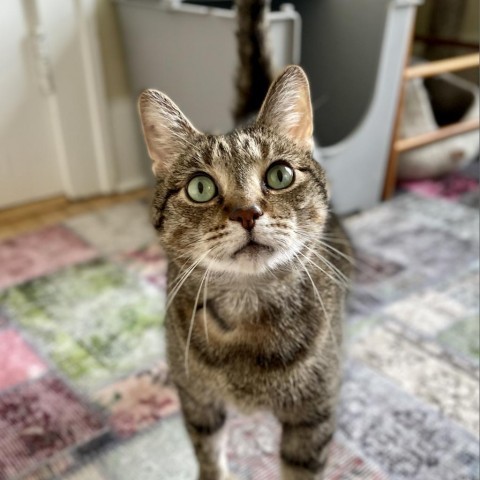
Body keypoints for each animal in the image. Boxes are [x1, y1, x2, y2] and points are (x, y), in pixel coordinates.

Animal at [137, 0, 350, 480]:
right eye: (200, 187)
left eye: (280, 175)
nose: (247, 213)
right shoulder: (197, 402)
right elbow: (210, 459)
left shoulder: (313, 419)